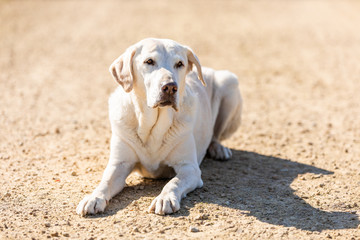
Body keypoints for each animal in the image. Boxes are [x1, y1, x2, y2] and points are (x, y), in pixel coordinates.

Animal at [77, 38, 243, 216]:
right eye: (149, 61)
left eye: (179, 64)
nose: (170, 87)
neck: (152, 126)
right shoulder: (119, 164)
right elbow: (105, 181)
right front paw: (94, 197)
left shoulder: (190, 168)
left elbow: (174, 182)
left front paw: (165, 198)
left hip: (229, 82)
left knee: (215, 135)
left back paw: (219, 149)